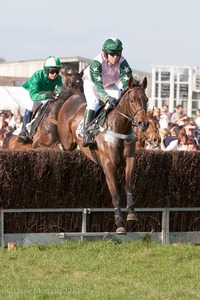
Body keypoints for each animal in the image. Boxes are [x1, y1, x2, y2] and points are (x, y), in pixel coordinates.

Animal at [57, 76, 149, 233]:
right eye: (132, 100)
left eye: (147, 99)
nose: (144, 123)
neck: (119, 127)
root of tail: (72, 97)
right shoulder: (108, 165)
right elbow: (115, 193)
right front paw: (119, 224)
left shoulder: (130, 160)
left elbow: (129, 186)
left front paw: (131, 214)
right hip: (67, 141)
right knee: (62, 145)